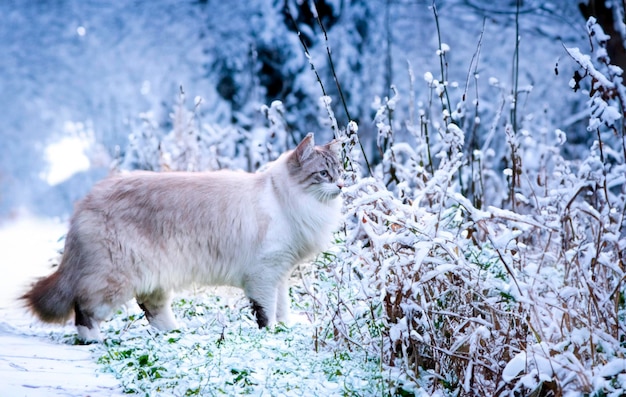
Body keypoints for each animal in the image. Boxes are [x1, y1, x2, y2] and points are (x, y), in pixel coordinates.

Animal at [22, 133, 344, 340]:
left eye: (341, 172)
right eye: (323, 174)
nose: (342, 185)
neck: (284, 198)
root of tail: (87, 200)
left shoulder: (280, 273)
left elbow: (282, 308)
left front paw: (286, 329)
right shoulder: (264, 274)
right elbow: (267, 313)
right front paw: (273, 336)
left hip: (153, 275)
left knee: (152, 309)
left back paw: (177, 333)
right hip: (114, 279)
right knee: (83, 308)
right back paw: (94, 340)